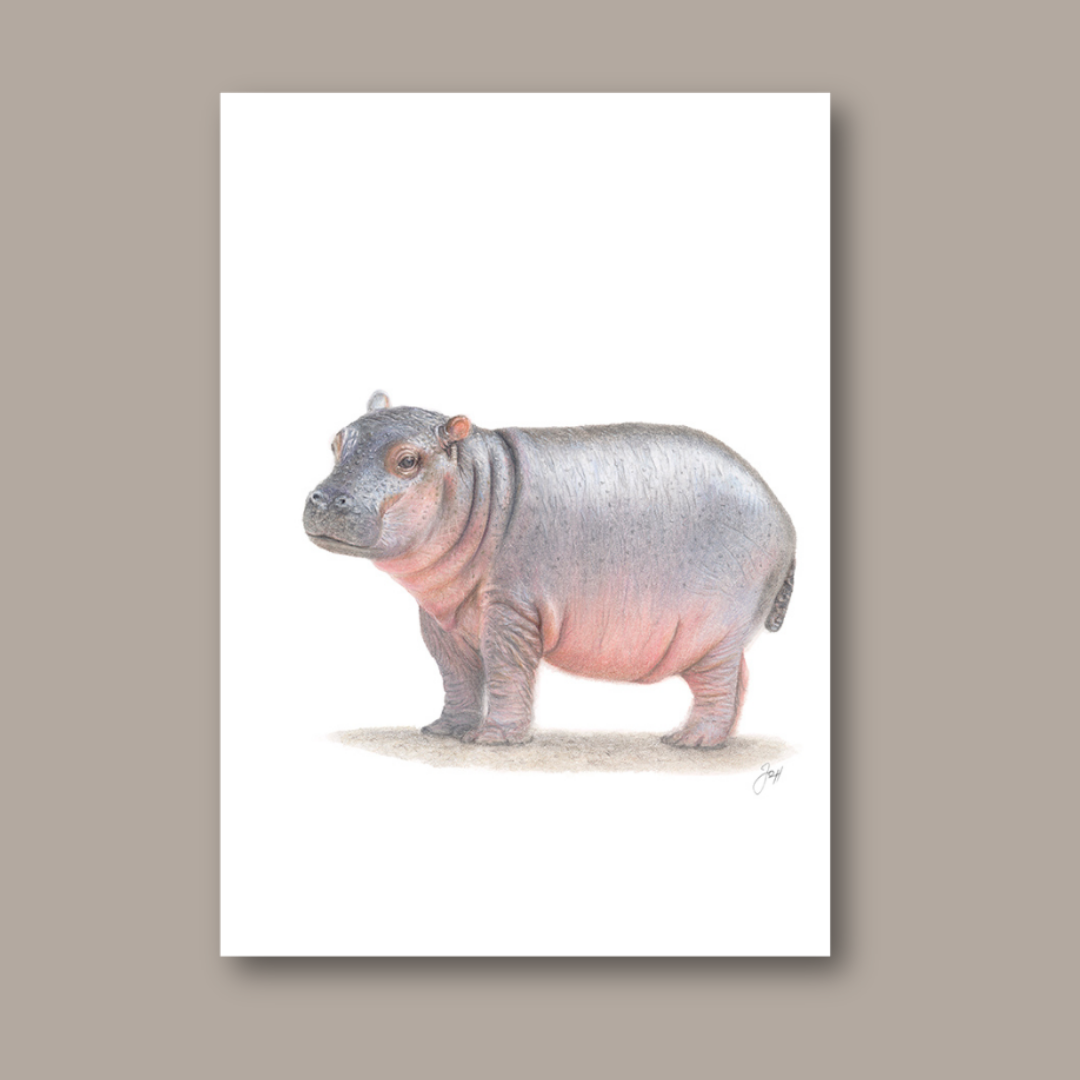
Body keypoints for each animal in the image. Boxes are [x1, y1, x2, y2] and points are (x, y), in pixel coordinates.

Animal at [303, 392, 795, 748]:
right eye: (336, 442)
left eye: (407, 460)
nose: (325, 499)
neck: (479, 483)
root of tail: (785, 519)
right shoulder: (440, 618)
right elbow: (456, 673)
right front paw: (444, 730)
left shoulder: (510, 608)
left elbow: (504, 667)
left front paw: (491, 739)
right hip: (719, 639)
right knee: (739, 678)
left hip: (715, 631)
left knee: (719, 685)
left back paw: (690, 741)